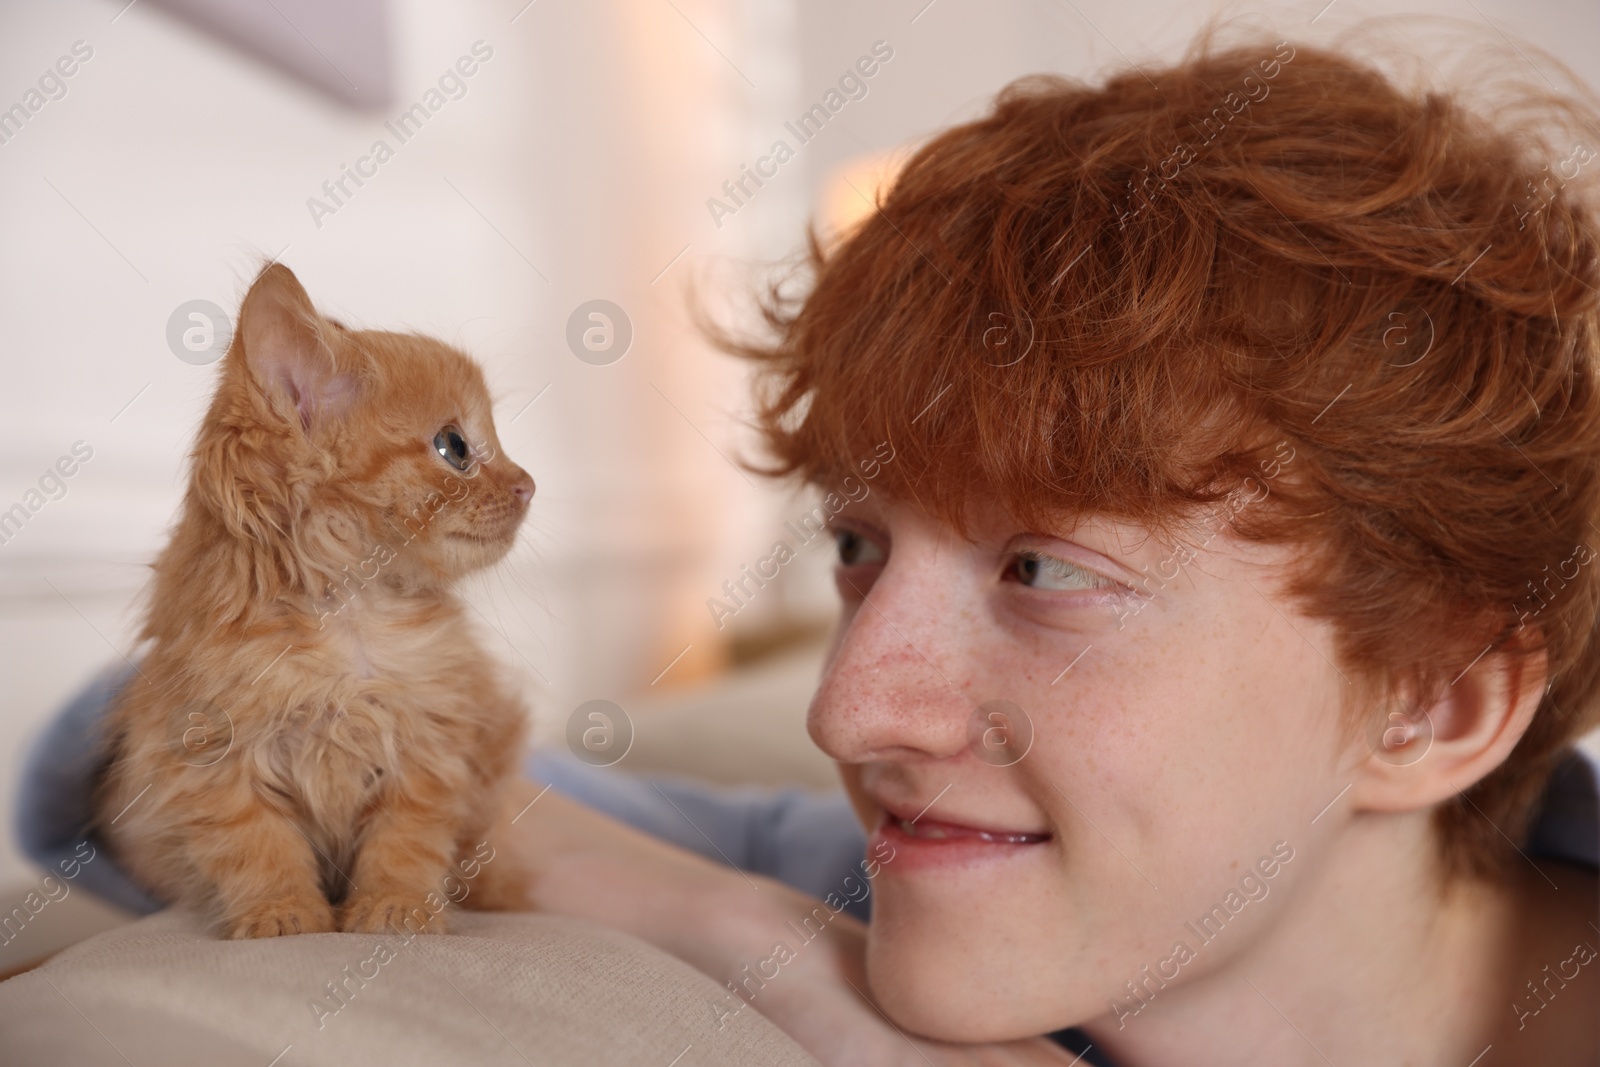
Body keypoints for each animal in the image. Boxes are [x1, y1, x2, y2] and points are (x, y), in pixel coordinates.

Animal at [100, 262, 537, 940]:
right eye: (455, 448)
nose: (528, 485)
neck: (349, 615)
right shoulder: (210, 756)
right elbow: (257, 847)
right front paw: (283, 915)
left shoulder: (431, 748)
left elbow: (406, 844)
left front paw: (394, 909)